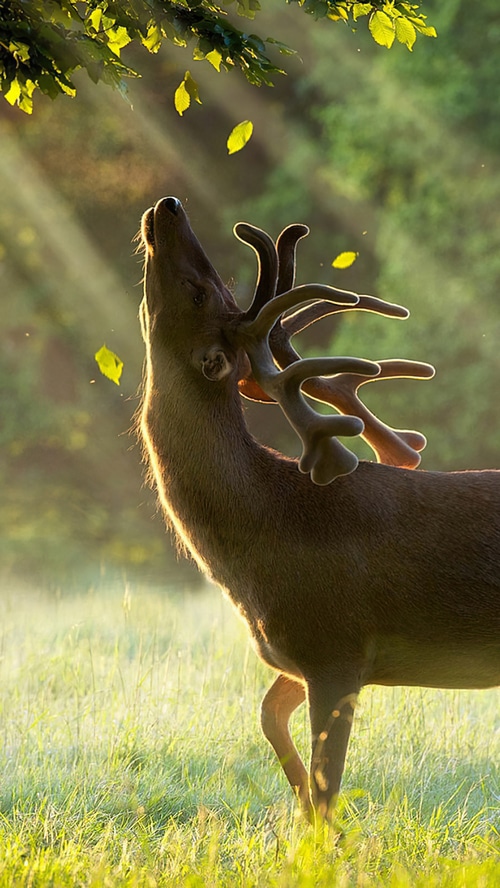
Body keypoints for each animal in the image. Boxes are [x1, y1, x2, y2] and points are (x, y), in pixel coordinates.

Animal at [138, 195, 500, 823]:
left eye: (198, 291)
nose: (169, 204)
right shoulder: (298, 655)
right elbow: (269, 720)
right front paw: (301, 809)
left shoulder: (336, 645)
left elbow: (329, 787)